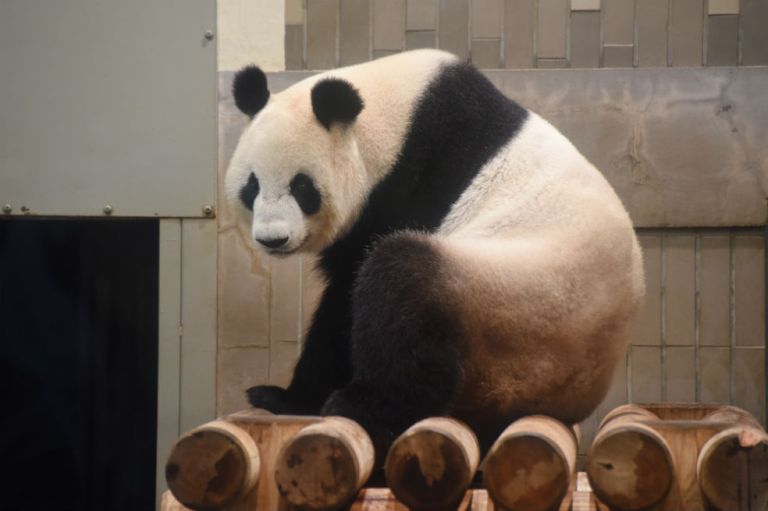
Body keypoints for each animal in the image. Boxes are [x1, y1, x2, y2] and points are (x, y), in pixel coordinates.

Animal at [225, 49, 644, 456]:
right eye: (252, 185)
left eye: (302, 187)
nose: (273, 239)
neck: (391, 120)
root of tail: (567, 400)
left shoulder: (411, 184)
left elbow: (346, 297)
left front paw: (287, 396)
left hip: (511, 306)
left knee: (405, 291)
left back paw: (363, 405)